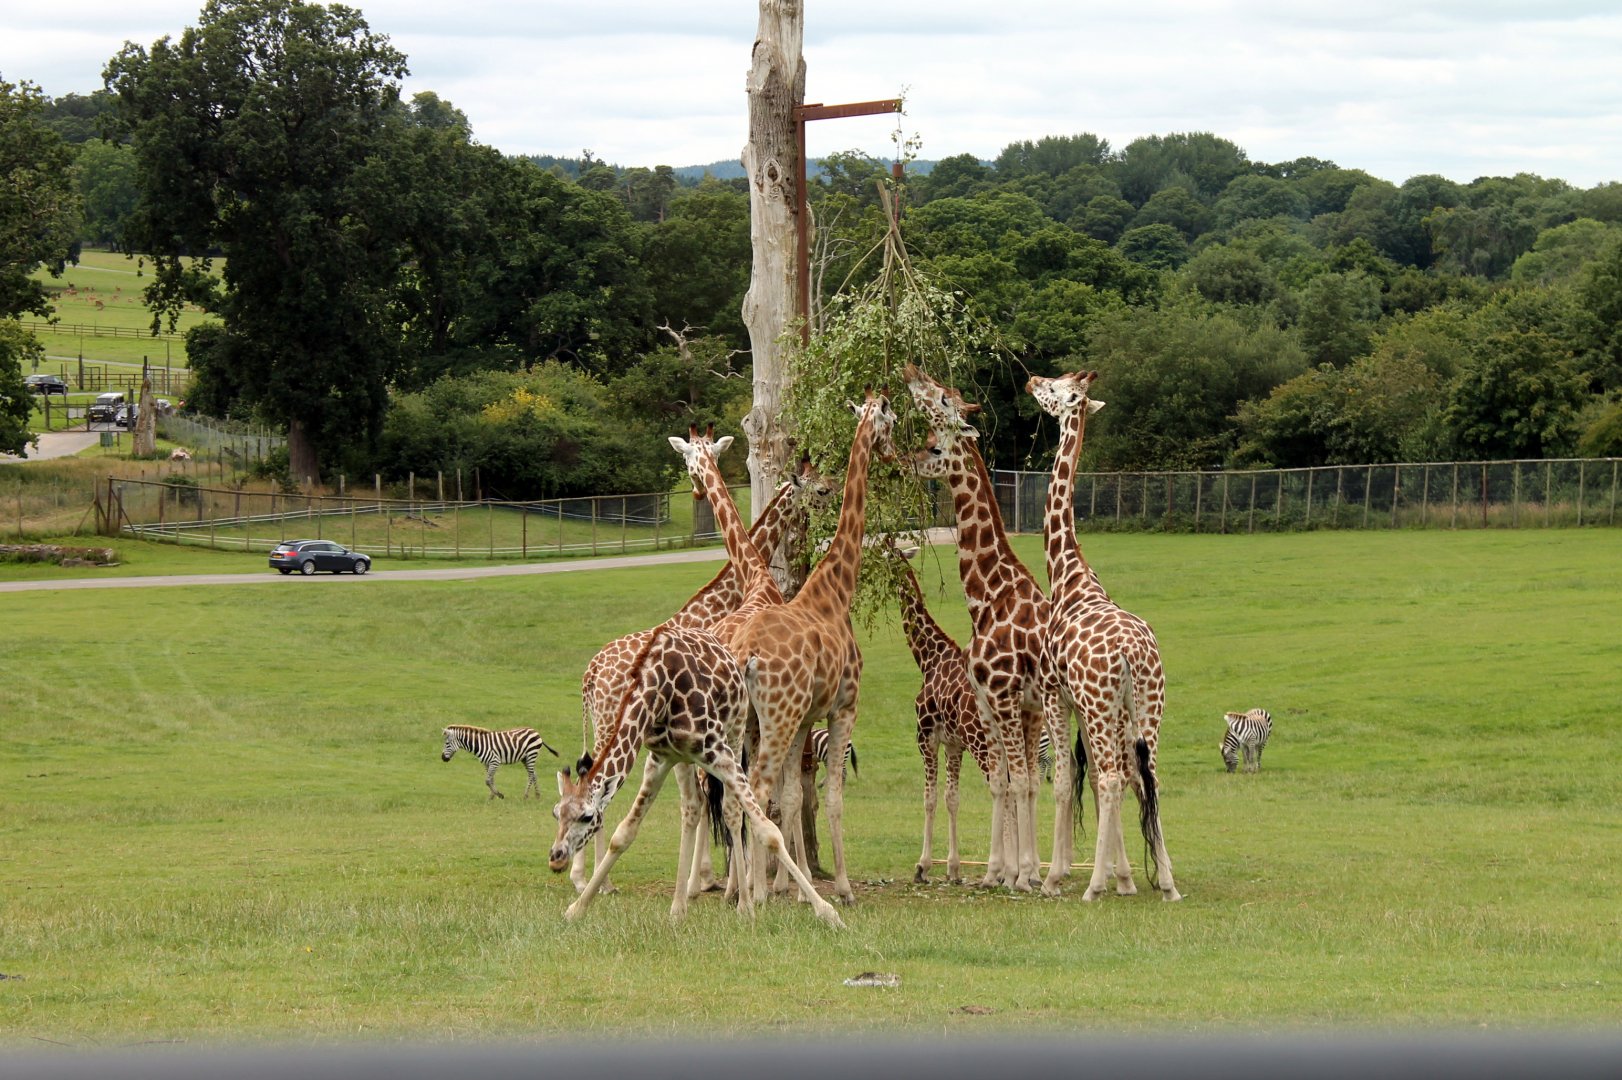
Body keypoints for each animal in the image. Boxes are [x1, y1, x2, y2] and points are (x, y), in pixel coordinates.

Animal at [548, 622, 845, 929]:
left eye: (587, 817)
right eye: (556, 813)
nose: (556, 856)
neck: (660, 689)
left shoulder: (717, 750)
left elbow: (769, 833)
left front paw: (828, 912)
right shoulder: (660, 758)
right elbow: (624, 833)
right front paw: (577, 908)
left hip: (736, 733)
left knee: (731, 811)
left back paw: (743, 904)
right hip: (685, 759)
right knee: (693, 806)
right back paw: (679, 907)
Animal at [571, 453, 833, 893]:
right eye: (823, 489)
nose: (828, 511)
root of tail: (589, 674)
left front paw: (711, 880)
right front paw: (713, 881)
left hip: (605, 723)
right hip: (614, 723)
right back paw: (597, 881)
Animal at [721, 388, 897, 905]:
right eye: (891, 423)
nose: (894, 457)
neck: (836, 591)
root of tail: (746, 655)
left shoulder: (805, 719)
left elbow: (797, 797)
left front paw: (799, 888)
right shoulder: (844, 708)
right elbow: (834, 797)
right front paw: (843, 888)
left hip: (749, 720)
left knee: (735, 793)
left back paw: (746, 894)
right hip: (775, 716)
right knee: (756, 790)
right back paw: (756, 897)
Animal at [894, 546, 996, 884]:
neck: (928, 657)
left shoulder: (926, 737)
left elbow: (930, 798)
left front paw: (923, 866)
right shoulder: (954, 744)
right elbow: (952, 798)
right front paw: (953, 867)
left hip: (981, 744)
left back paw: (1000, 869)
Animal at [1027, 370, 1180, 901]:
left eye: (1055, 389)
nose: (1031, 379)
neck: (1067, 575)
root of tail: (1134, 652)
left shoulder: (1057, 693)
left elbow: (1066, 779)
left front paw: (1055, 877)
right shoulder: (1092, 705)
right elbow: (1091, 778)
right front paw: (1126, 877)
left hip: (1100, 704)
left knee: (1116, 777)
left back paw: (1092, 887)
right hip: (1147, 704)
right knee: (1148, 774)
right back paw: (1168, 883)